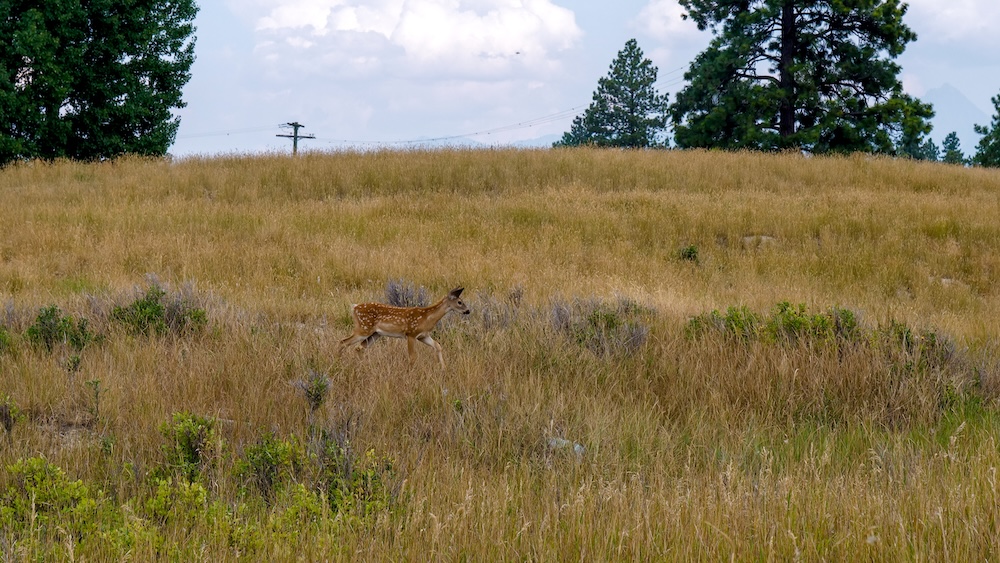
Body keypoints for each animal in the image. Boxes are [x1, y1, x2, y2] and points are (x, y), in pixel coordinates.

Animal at [338, 287, 470, 368]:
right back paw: (338, 362)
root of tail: (354, 307)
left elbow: (438, 346)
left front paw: (444, 368)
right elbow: (412, 357)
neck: (427, 318)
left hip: (375, 334)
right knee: (343, 341)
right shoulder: (411, 333)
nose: (468, 311)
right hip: (363, 328)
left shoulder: (423, 336)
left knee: (359, 348)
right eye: (459, 302)